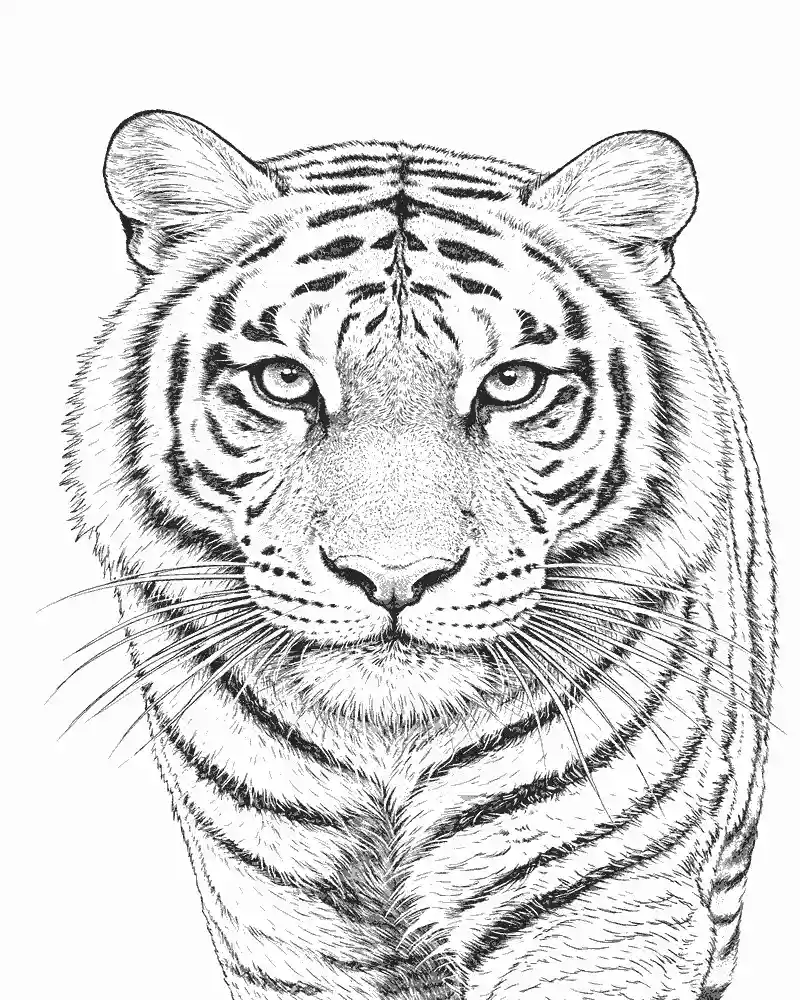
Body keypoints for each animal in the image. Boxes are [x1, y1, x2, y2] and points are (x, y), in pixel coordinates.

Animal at [63, 110, 777, 1000]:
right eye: (284, 381)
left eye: (510, 384)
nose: (394, 578)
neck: (391, 747)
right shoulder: (280, 926)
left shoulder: (607, 912)